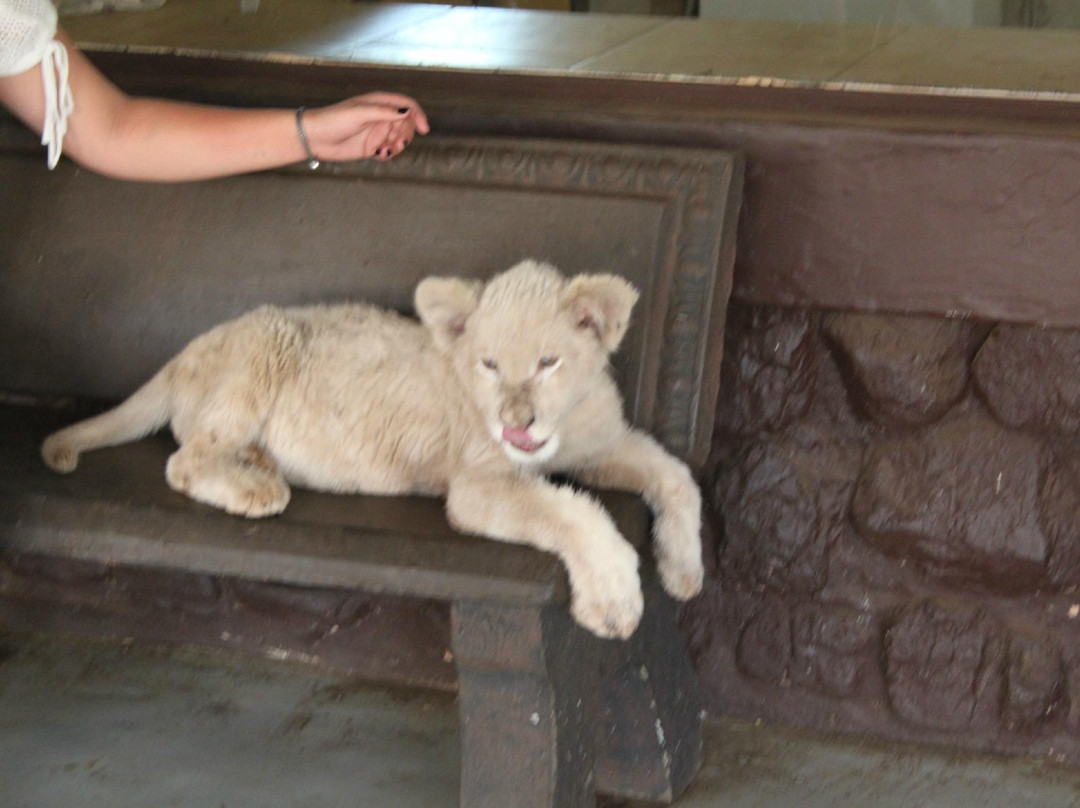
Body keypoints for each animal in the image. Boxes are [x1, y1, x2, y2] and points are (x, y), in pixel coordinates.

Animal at [41, 260, 704, 639]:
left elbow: (676, 477)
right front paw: (615, 601)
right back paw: (255, 486)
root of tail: (180, 356)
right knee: (184, 461)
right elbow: (571, 513)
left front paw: (683, 572)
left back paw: (258, 463)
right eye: (489, 365)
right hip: (268, 339)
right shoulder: (477, 487)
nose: (516, 425)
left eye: (548, 361)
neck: (558, 431)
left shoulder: (603, 443)